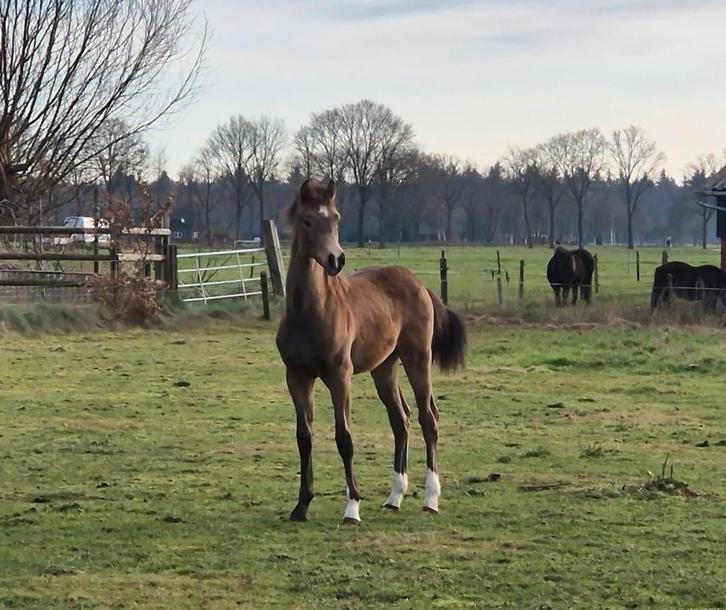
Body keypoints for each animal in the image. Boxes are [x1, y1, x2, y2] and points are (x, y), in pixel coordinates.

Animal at [275, 179, 467, 524]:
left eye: (336, 218)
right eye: (308, 221)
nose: (336, 260)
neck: (310, 311)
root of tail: (419, 284)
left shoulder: (340, 377)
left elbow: (344, 438)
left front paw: (352, 507)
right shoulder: (297, 377)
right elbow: (304, 437)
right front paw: (301, 505)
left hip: (417, 359)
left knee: (427, 418)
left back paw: (430, 499)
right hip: (385, 368)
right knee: (400, 420)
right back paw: (394, 497)